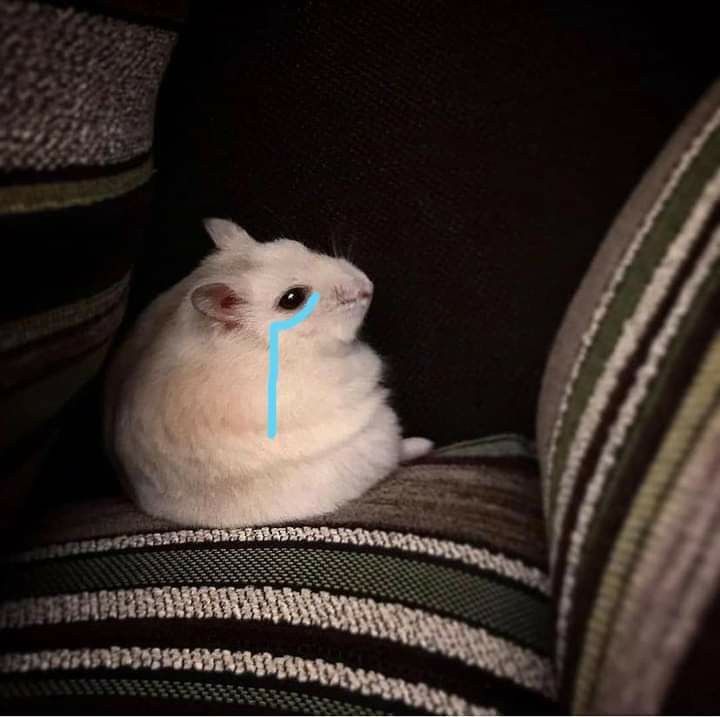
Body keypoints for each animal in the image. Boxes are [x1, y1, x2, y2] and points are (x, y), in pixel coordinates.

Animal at [104, 218, 433, 527]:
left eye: (301, 246)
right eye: (292, 299)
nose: (369, 285)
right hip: (377, 437)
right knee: (397, 450)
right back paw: (425, 443)